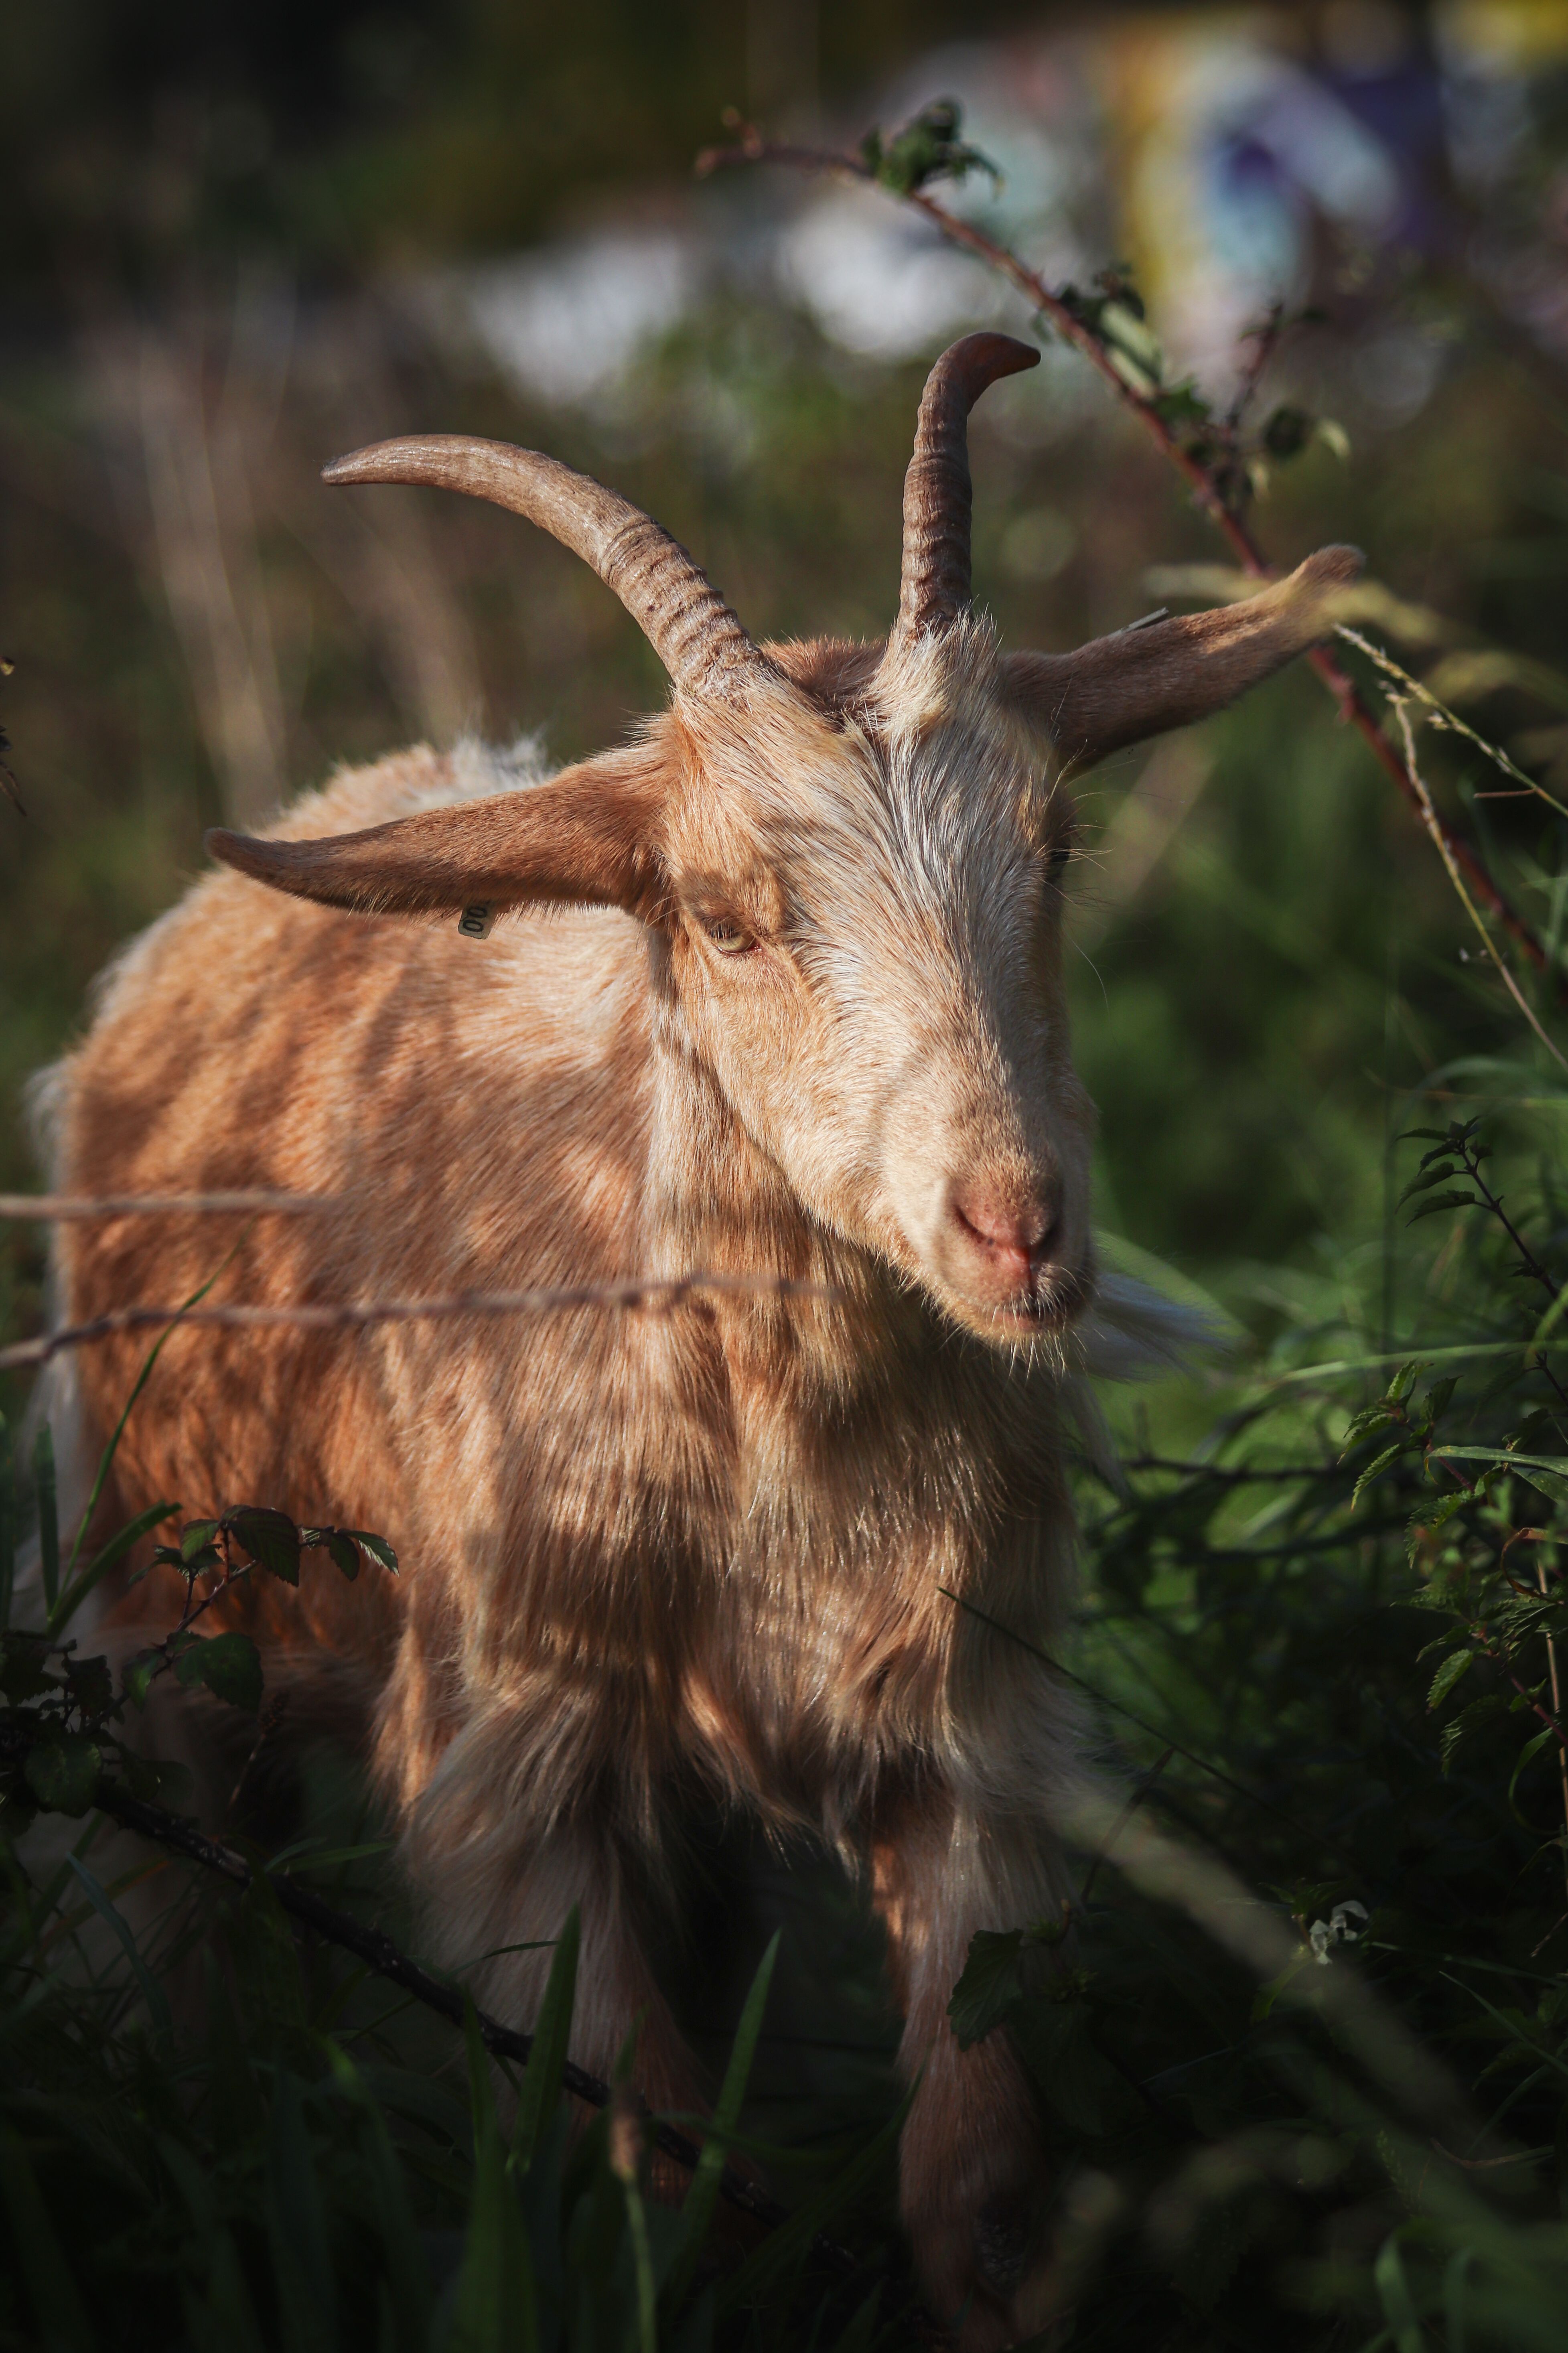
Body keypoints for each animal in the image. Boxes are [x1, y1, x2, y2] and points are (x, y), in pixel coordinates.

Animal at [41, 333, 1358, 2345]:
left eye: (1054, 846)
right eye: (730, 917)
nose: (1014, 1225)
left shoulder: (962, 1734)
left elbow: (973, 2188)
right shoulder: (516, 1763)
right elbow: (665, 2178)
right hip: (157, 1623)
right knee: (174, 1921)